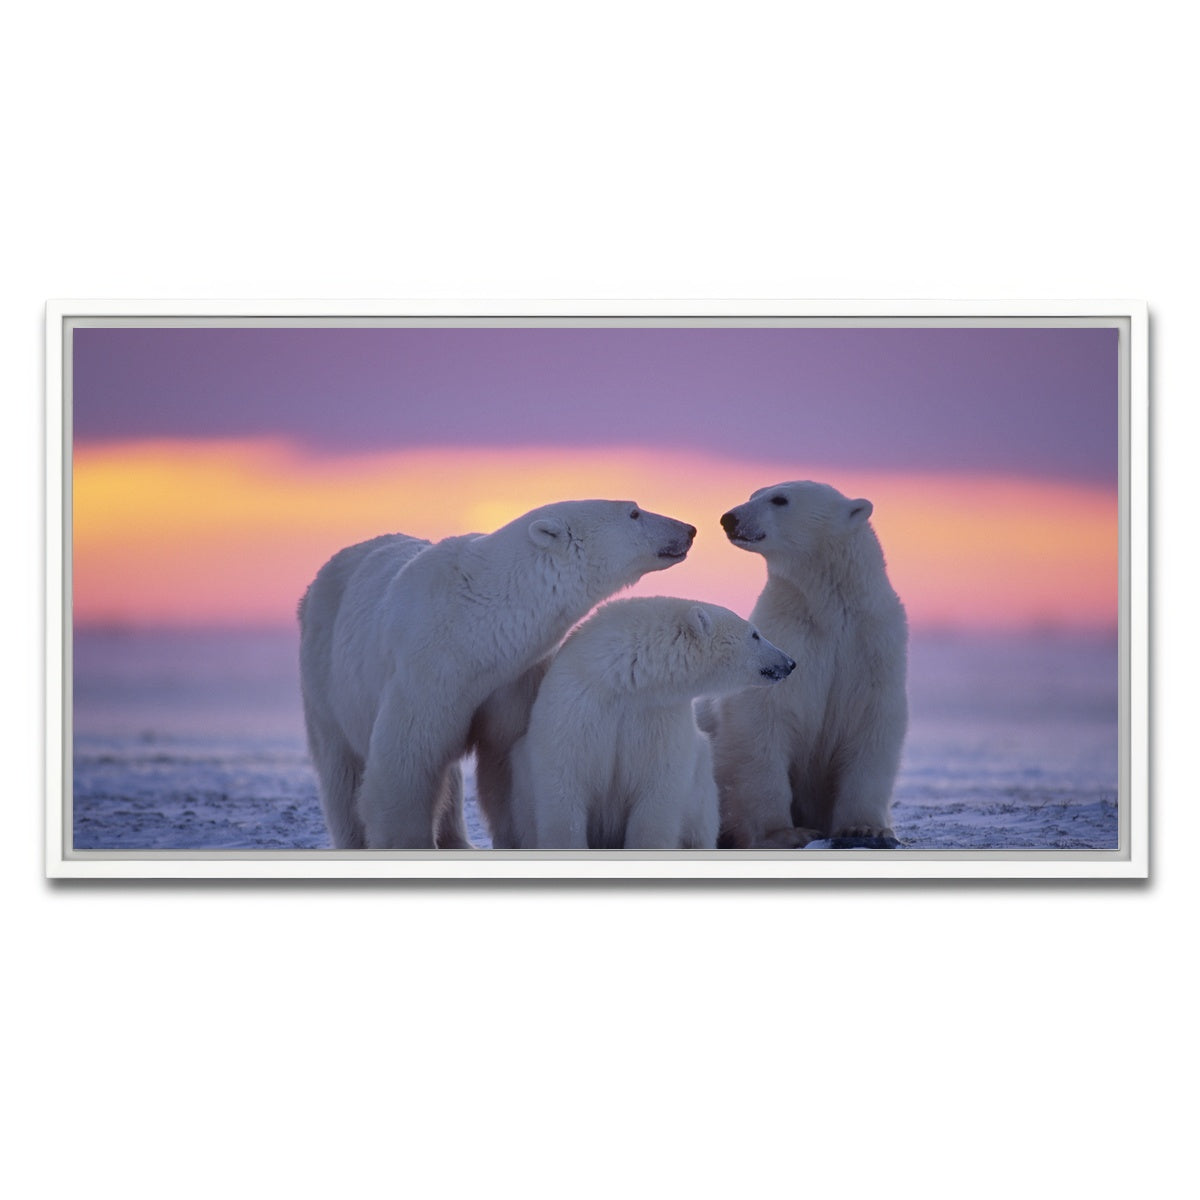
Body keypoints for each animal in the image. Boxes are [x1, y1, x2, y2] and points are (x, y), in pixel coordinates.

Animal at [298, 500, 697, 849]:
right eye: (634, 512)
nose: (689, 529)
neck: (476, 625)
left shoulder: (513, 678)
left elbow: (506, 758)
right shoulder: (426, 669)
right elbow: (406, 760)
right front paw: (407, 842)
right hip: (324, 672)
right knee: (341, 767)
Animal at [507, 596, 797, 850]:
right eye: (755, 634)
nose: (790, 662)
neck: (624, 681)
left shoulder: (658, 716)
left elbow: (658, 791)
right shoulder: (578, 706)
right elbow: (564, 782)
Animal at [702, 480, 908, 849]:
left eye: (779, 499)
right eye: (754, 494)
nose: (730, 518)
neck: (828, 610)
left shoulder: (872, 646)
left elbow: (872, 726)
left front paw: (865, 828)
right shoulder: (788, 639)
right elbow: (763, 722)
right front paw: (785, 833)